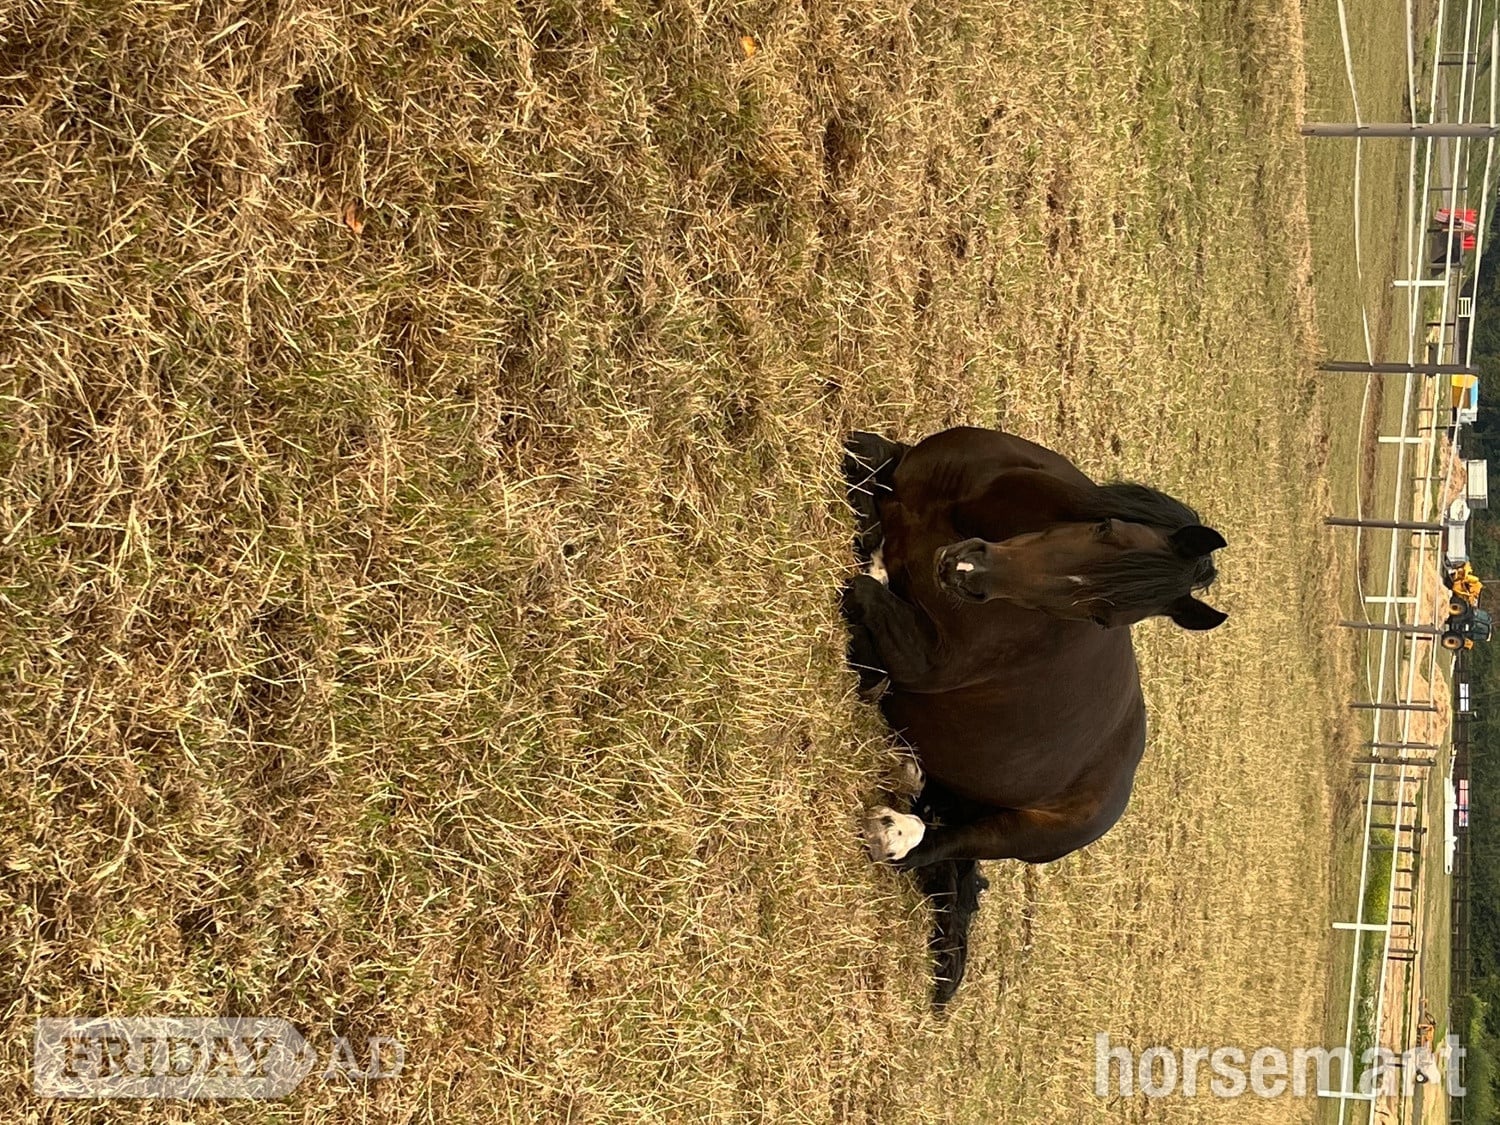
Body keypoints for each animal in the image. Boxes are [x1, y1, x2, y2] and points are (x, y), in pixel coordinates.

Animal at [840, 426, 1227, 1004]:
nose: (964, 570)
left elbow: (866, 590)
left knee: (936, 846)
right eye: (1105, 528)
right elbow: (868, 464)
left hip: (1022, 837)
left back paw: (893, 829)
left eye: (1104, 616)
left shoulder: (919, 655)